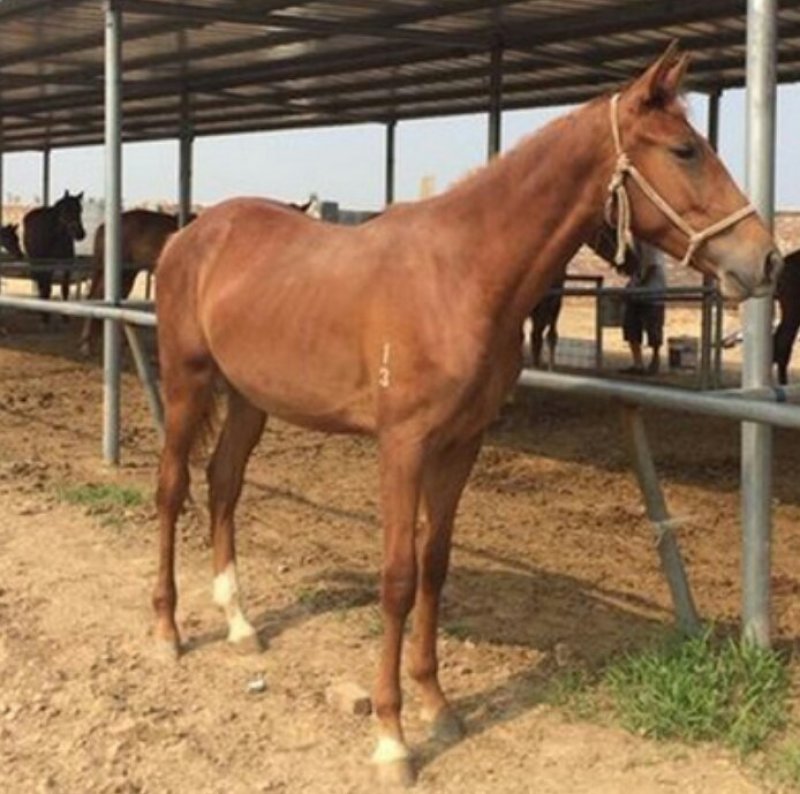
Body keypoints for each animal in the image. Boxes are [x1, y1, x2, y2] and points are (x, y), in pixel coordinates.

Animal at [529, 225, 641, 369]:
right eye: (612, 230)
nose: (634, 262)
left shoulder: (555, 304)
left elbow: (550, 337)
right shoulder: (538, 307)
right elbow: (536, 339)